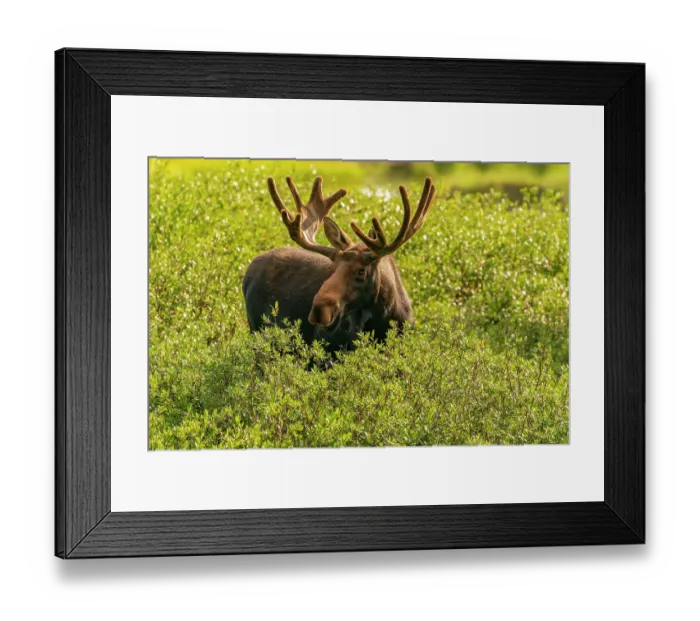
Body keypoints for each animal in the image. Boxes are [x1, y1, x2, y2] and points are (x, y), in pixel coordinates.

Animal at [242, 175, 436, 353]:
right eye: (332, 268)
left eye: (361, 271)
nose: (318, 310)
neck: (385, 318)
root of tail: (248, 271)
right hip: (256, 331)